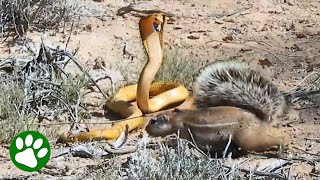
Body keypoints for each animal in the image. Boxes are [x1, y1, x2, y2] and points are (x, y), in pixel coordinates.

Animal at [145, 59, 296, 157]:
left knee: (276, 139)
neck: (177, 118)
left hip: (248, 138)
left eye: (153, 121)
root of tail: (261, 119)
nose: (146, 130)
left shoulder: (185, 131)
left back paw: (281, 151)